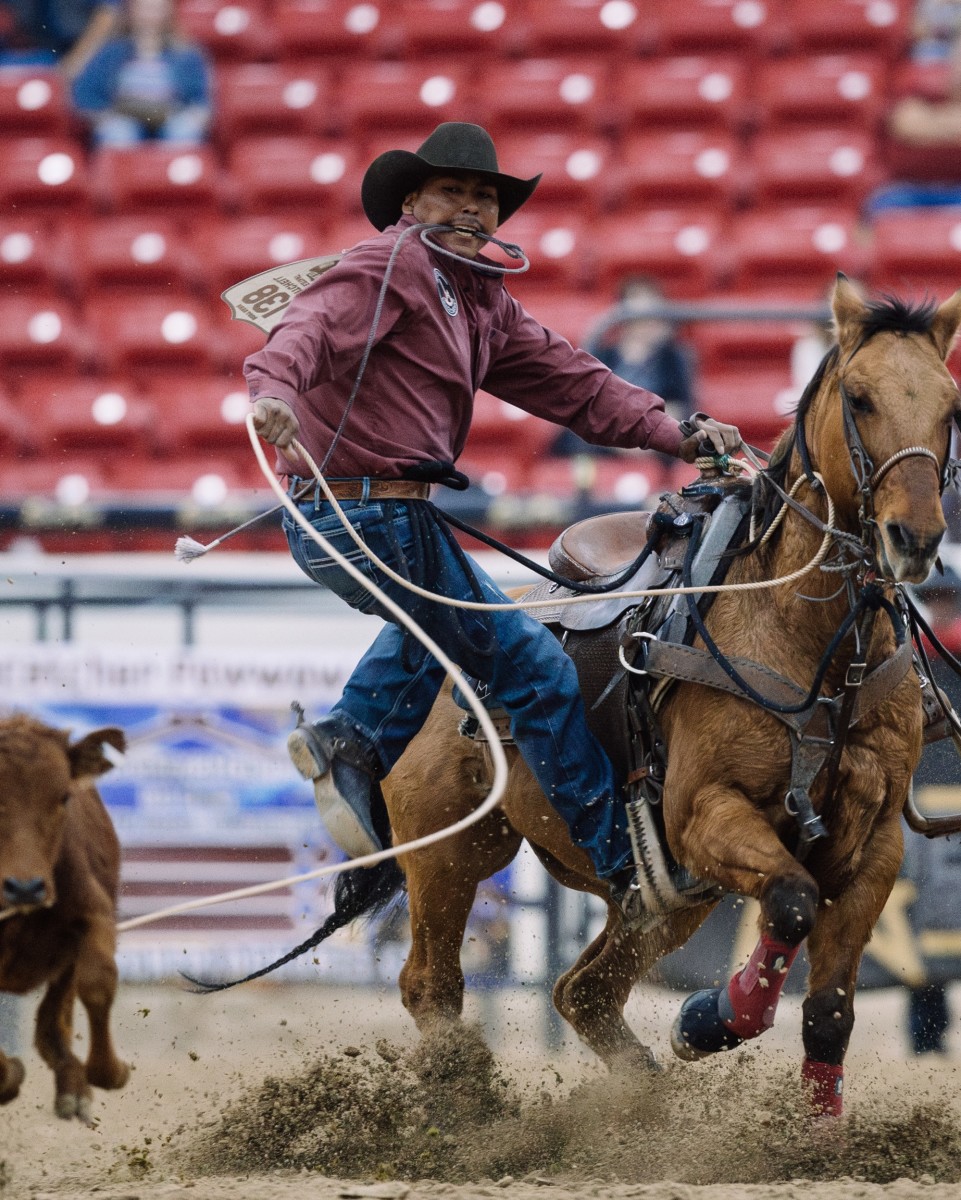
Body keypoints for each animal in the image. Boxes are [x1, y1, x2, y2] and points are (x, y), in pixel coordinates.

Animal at [0, 715, 129, 1118]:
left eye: (63, 797)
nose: (25, 888)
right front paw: (7, 1074)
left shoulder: (95, 915)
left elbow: (98, 981)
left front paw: (110, 1071)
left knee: (52, 1023)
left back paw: (73, 1085)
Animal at [194, 278, 959, 1113]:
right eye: (859, 398)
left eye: (950, 404)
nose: (914, 538)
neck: (803, 635)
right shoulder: (704, 814)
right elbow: (788, 900)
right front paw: (706, 1019)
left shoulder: (872, 848)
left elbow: (827, 1013)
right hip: (451, 847)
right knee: (432, 983)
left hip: (658, 898)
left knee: (581, 992)